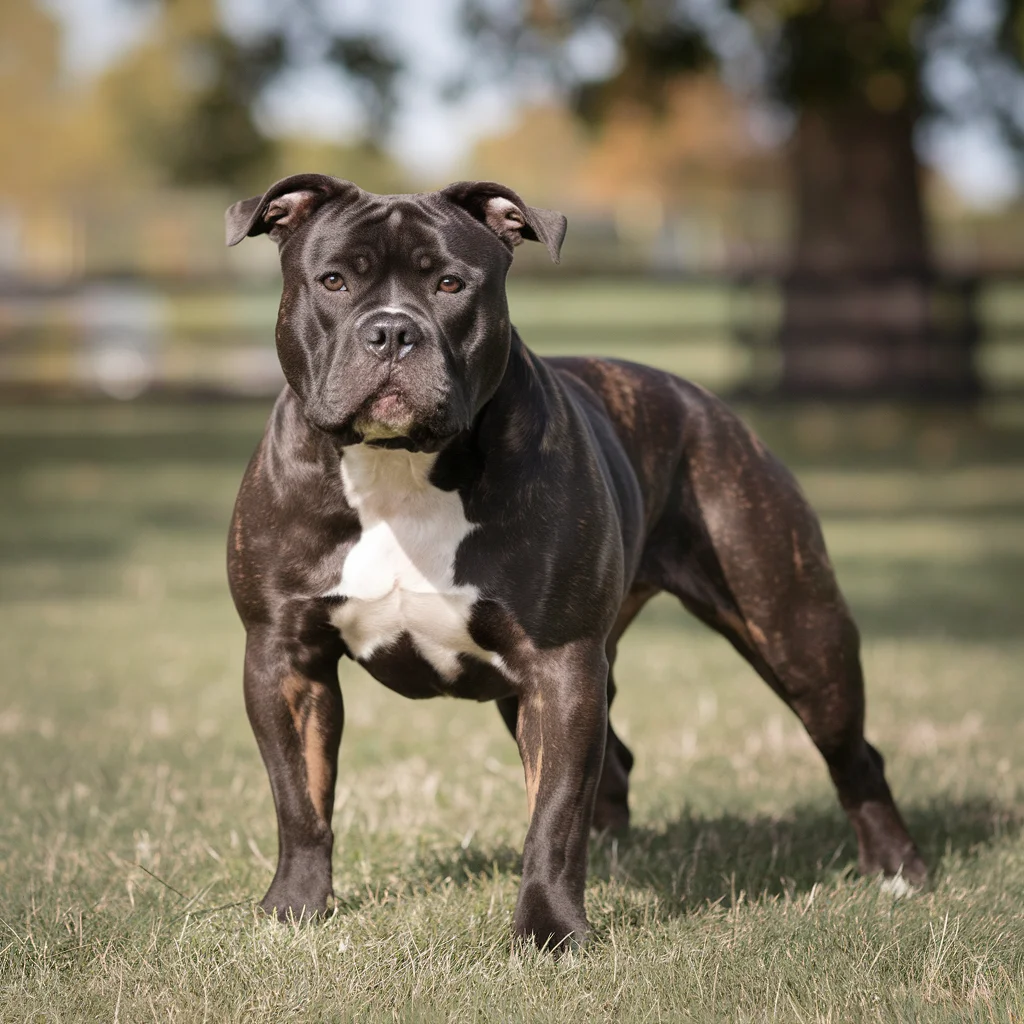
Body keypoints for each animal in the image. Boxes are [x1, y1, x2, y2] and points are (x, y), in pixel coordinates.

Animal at [224, 176, 929, 950]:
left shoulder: (560, 666)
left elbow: (553, 815)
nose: (391, 331)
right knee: (614, 762)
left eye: (450, 284)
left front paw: (549, 931)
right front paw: (294, 907)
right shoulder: (285, 658)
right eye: (334, 281)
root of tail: (707, 405)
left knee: (852, 752)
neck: (398, 469)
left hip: (799, 635)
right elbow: (300, 797)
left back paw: (897, 870)